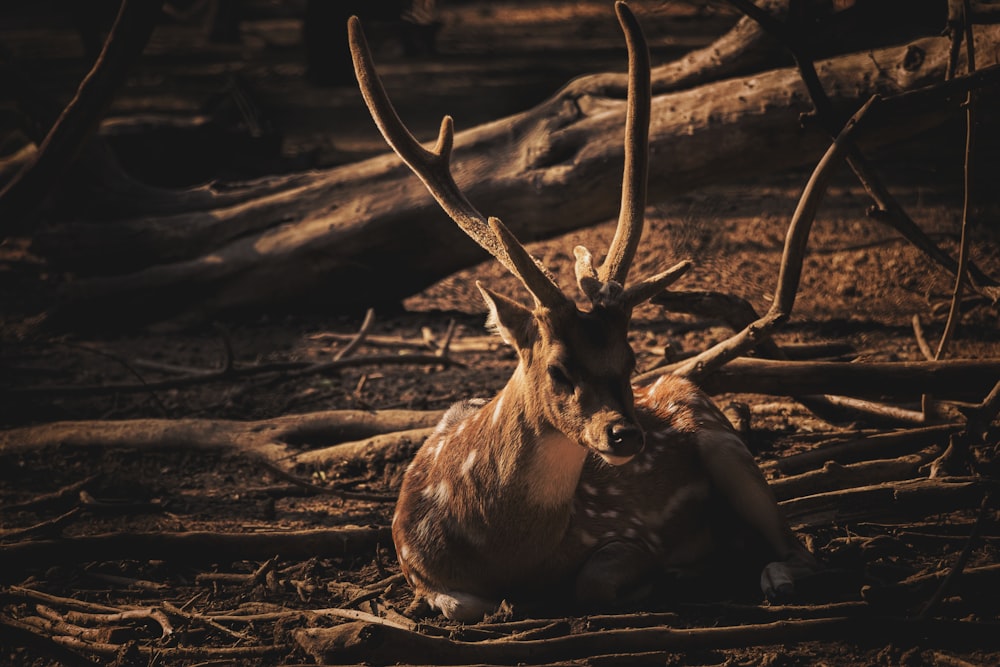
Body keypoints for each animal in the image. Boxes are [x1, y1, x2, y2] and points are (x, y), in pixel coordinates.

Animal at [348, 2, 816, 624]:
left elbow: (592, 581)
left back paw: (766, 576)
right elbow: (464, 604)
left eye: (630, 358)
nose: (625, 435)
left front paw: (666, 576)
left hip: (725, 444)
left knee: (798, 545)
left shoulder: (630, 535)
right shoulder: (416, 568)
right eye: (559, 368)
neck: (501, 550)